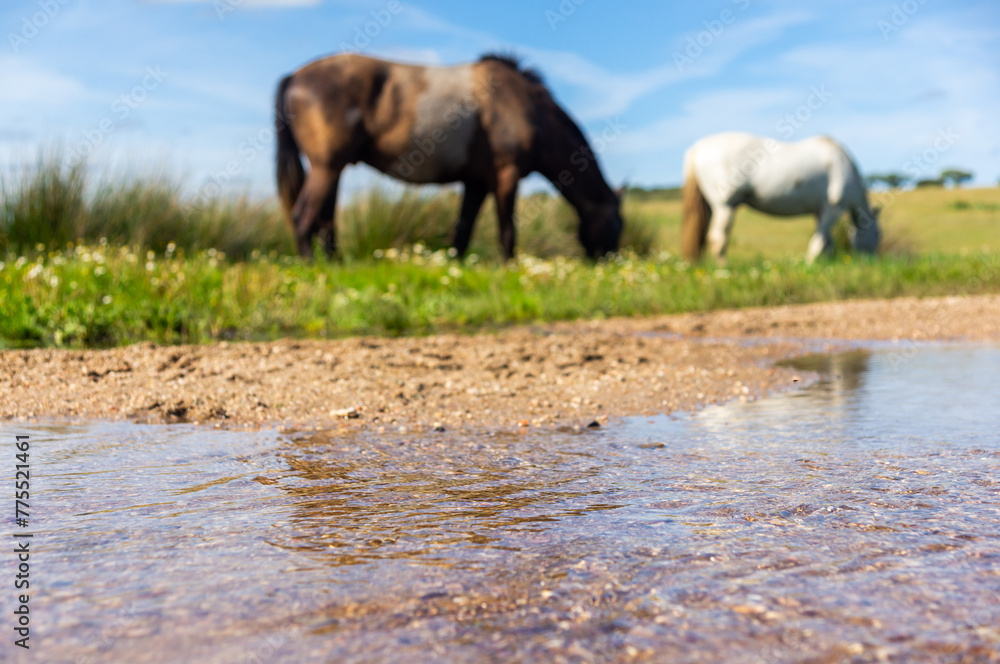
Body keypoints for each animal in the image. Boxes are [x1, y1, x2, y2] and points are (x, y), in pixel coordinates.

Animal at [274, 53, 624, 260]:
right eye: (619, 224)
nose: (611, 261)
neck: (531, 109)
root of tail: (294, 75)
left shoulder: (477, 182)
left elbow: (463, 231)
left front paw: (457, 269)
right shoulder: (507, 175)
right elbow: (507, 229)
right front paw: (509, 268)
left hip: (333, 168)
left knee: (325, 219)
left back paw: (335, 263)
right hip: (326, 167)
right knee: (303, 216)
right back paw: (314, 266)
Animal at [680, 132, 881, 264]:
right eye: (879, 234)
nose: (872, 260)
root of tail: (696, 149)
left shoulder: (820, 213)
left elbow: (827, 244)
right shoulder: (833, 210)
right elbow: (818, 243)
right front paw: (809, 265)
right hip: (725, 206)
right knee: (718, 240)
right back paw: (724, 270)